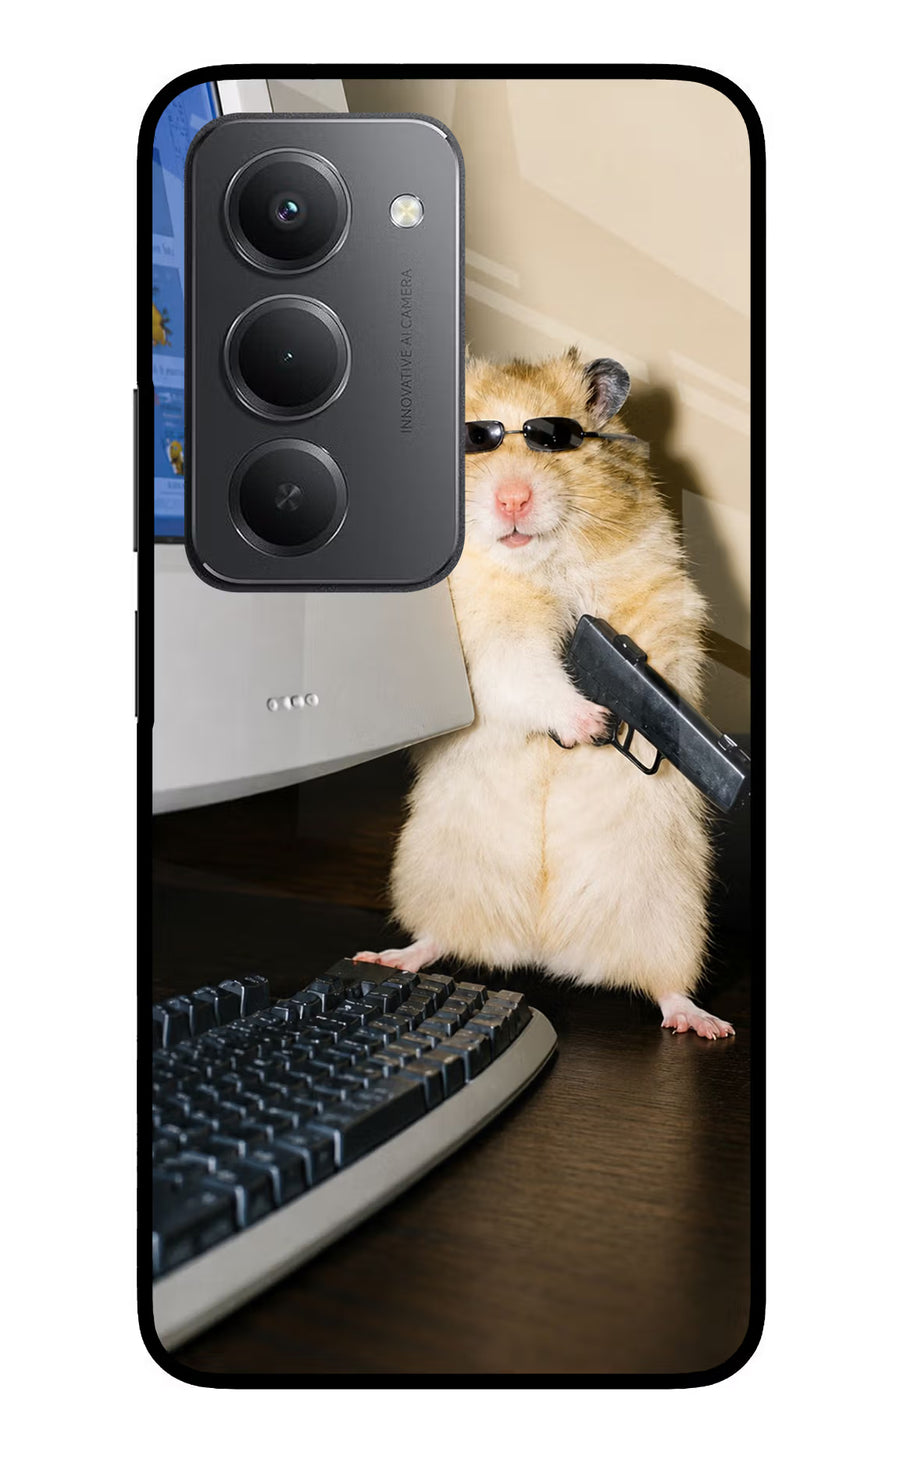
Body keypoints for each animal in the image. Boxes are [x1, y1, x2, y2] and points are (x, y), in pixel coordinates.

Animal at [357, 349, 734, 1039]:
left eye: (555, 440)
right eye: (472, 440)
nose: (513, 498)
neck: (538, 565)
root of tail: (542, 947)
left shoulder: (659, 596)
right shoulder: (487, 644)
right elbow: (527, 674)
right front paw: (591, 723)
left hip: (668, 912)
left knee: (665, 985)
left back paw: (704, 1023)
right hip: (435, 874)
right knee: (438, 938)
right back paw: (389, 956)